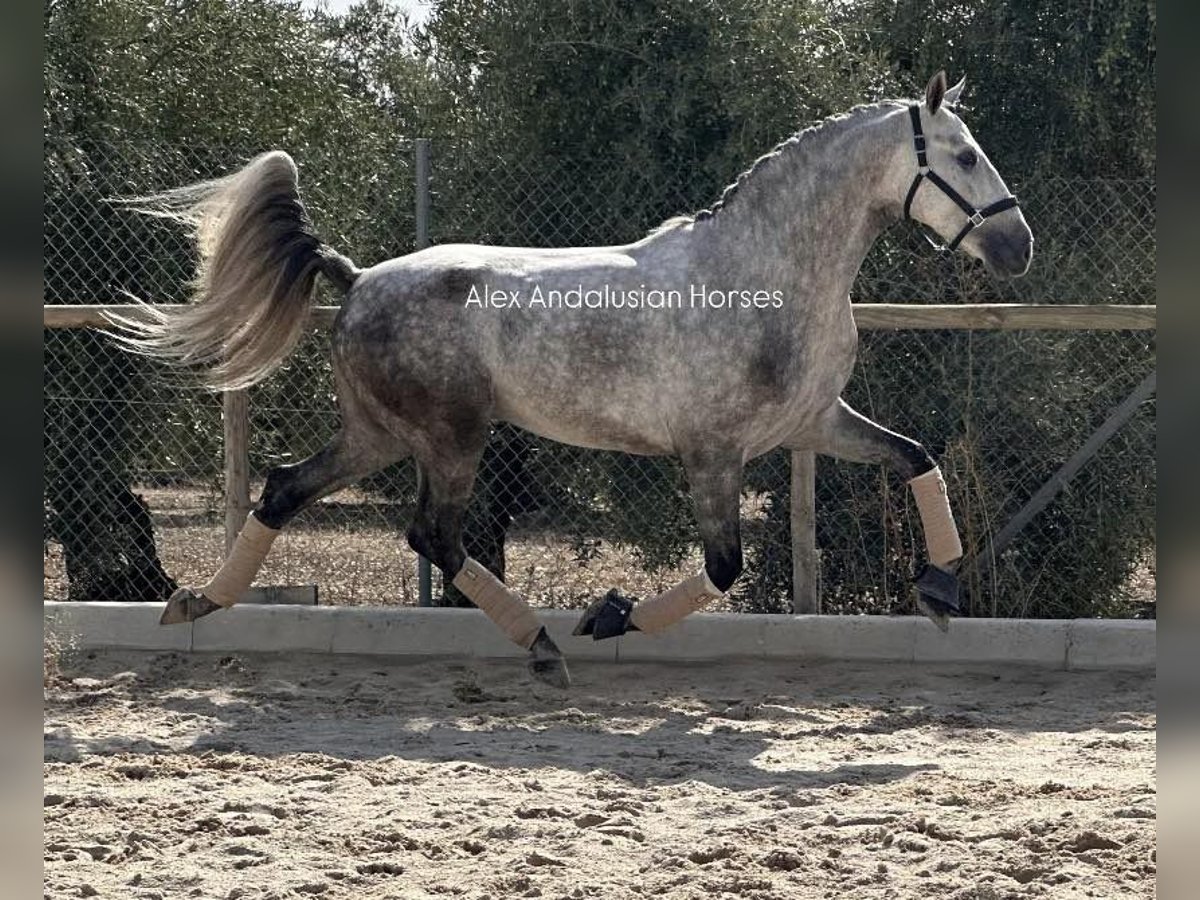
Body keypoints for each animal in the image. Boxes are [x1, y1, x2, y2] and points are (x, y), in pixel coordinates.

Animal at [112, 72, 1032, 691]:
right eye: (964, 155)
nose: (1016, 245)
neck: (767, 273)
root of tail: (359, 277)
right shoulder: (714, 453)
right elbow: (724, 567)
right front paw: (607, 614)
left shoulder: (813, 422)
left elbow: (915, 457)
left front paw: (940, 588)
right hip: (451, 437)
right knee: (432, 536)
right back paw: (544, 647)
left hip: (378, 434)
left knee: (285, 490)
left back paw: (196, 602)